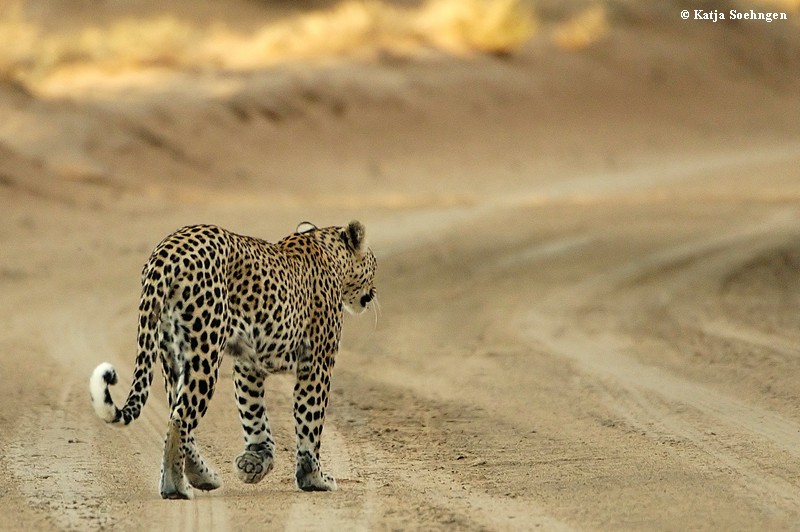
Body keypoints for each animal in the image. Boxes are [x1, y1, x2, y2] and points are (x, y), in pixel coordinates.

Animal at [89, 219, 376, 498]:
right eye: (373, 265)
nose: (373, 292)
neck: (329, 251)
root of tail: (168, 250)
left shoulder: (248, 365)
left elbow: (253, 414)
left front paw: (256, 461)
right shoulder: (317, 362)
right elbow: (310, 421)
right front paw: (313, 478)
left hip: (170, 353)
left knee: (176, 412)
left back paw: (203, 477)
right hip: (204, 353)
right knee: (179, 420)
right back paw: (177, 487)